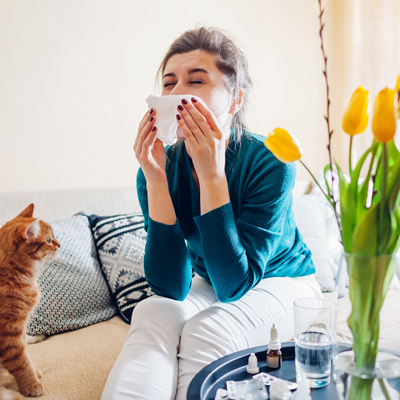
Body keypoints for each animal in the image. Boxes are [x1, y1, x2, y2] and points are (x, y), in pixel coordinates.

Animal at [0, 205, 59, 398]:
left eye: (53, 237)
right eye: (48, 240)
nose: (59, 244)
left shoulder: (21, 329)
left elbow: (27, 354)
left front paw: (35, 371)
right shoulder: (9, 333)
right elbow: (21, 362)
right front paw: (31, 383)